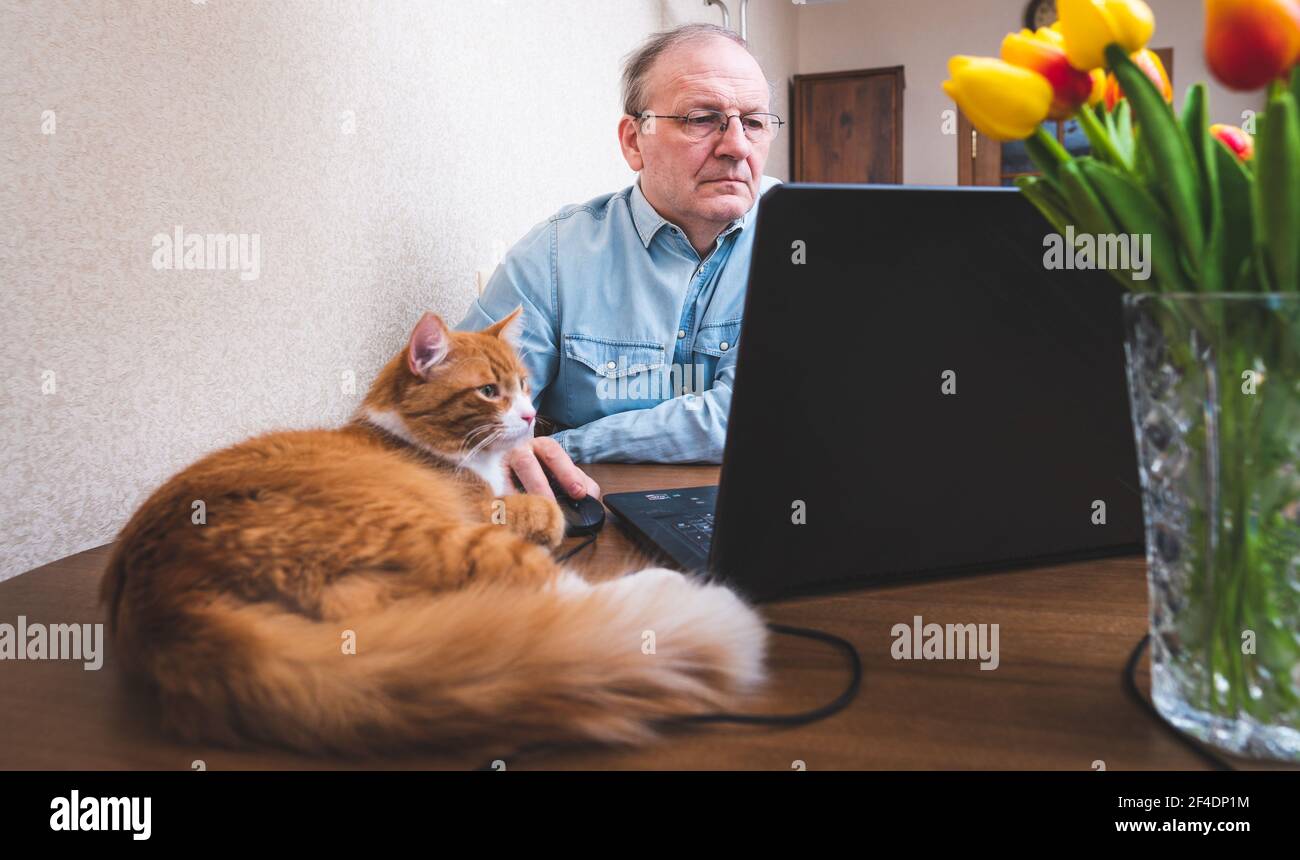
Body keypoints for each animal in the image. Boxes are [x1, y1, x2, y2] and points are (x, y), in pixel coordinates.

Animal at [104, 307, 769, 753]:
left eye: (525, 385)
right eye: (489, 391)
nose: (532, 415)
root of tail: (166, 605)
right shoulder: (484, 510)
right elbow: (544, 511)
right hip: (430, 534)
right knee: (549, 591)